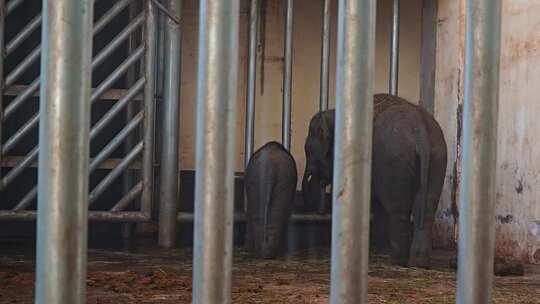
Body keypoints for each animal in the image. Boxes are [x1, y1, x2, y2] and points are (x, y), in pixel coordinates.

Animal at [304, 94, 448, 268]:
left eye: (309, 152)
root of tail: (420, 131)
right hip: (437, 157)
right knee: (426, 208)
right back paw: (417, 264)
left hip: (394, 161)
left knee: (397, 210)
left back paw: (397, 260)